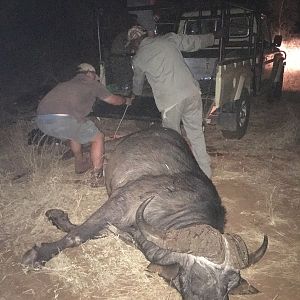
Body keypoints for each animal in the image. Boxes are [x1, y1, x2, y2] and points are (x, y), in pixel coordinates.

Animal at [22, 127, 268, 298]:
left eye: (230, 285)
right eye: (201, 274)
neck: (178, 208)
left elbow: (96, 231)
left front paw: (59, 219)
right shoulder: (119, 203)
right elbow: (78, 235)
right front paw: (38, 254)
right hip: (114, 143)